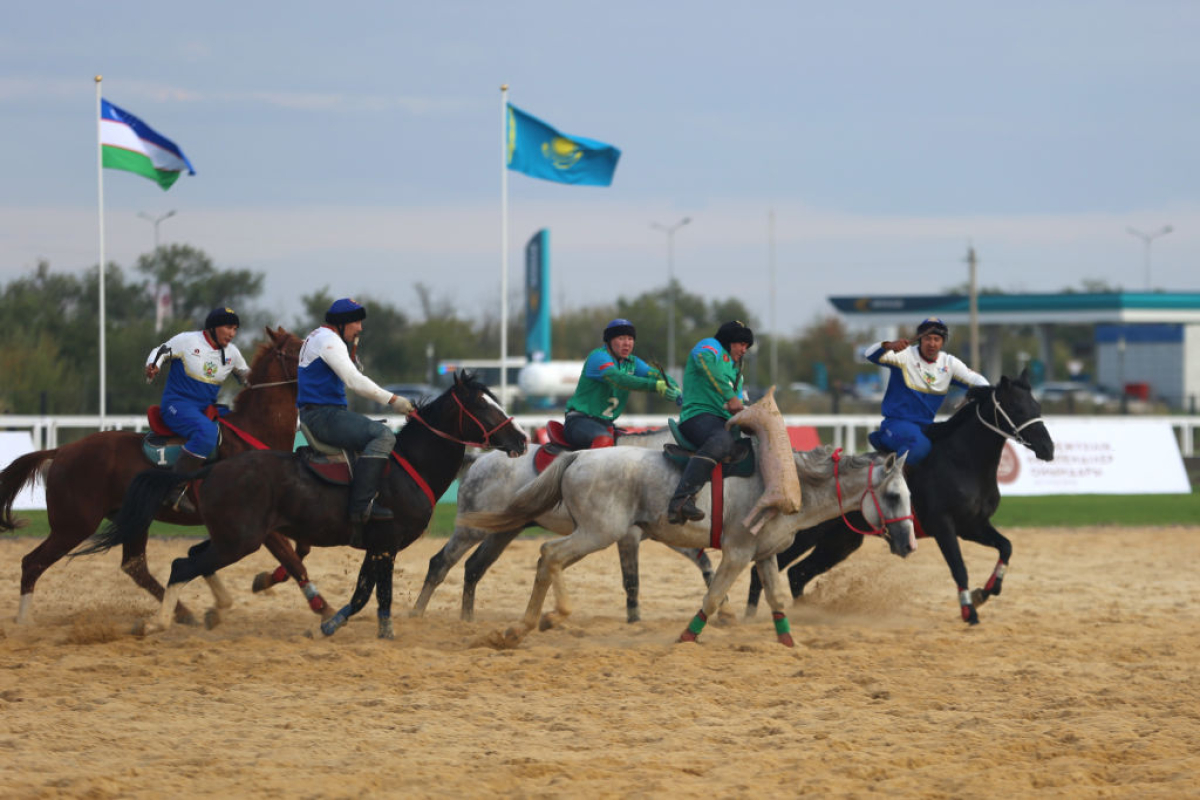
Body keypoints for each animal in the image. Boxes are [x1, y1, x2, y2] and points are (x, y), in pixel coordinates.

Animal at [0, 326, 319, 623]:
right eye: (300, 350)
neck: (251, 433)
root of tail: (62, 450)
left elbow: (299, 550)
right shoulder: (256, 523)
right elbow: (292, 559)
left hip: (132, 520)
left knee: (134, 566)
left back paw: (183, 613)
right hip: (73, 525)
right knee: (32, 563)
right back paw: (24, 623)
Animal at [84, 371, 530, 642]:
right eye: (482, 405)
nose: (522, 438)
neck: (405, 466)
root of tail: (211, 468)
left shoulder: (375, 547)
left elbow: (364, 592)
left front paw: (331, 623)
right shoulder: (386, 544)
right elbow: (379, 594)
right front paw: (379, 633)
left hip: (229, 538)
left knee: (190, 558)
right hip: (239, 541)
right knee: (181, 566)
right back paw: (158, 622)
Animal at [412, 429, 715, 623]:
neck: (646, 465)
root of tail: (479, 460)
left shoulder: (671, 534)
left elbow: (704, 561)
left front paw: (720, 609)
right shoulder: (628, 537)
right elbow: (632, 582)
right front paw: (634, 619)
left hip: (504, 531)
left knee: (474, 568)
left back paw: (467, 621)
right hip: (472, 529)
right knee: (441, 563)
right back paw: (417, 614)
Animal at [458, 448, 907, 647]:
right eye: (895, 496)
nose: (906, 543)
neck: (786, 485)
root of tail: (580, 455)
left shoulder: (764, 556)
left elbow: (777, 598)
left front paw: (788, 644)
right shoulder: (738, 554)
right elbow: (712, 597)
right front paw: (687, 638)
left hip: (591, 534)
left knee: (545, 558)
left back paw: (522, 627)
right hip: (597, 532)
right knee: (549, 554)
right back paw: (544, 619)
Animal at [744, 369, 1056, 623]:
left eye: (1037, 405)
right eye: (1016, 407)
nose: (1048, 448)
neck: (961, 462)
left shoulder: (973, 526)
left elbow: (1006, 547)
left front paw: (987, 591)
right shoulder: (944, 526)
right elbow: (959, 567)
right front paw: (969, 610)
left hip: (841, 542)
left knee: (798, 574)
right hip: (802, 535)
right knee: (763, 572)